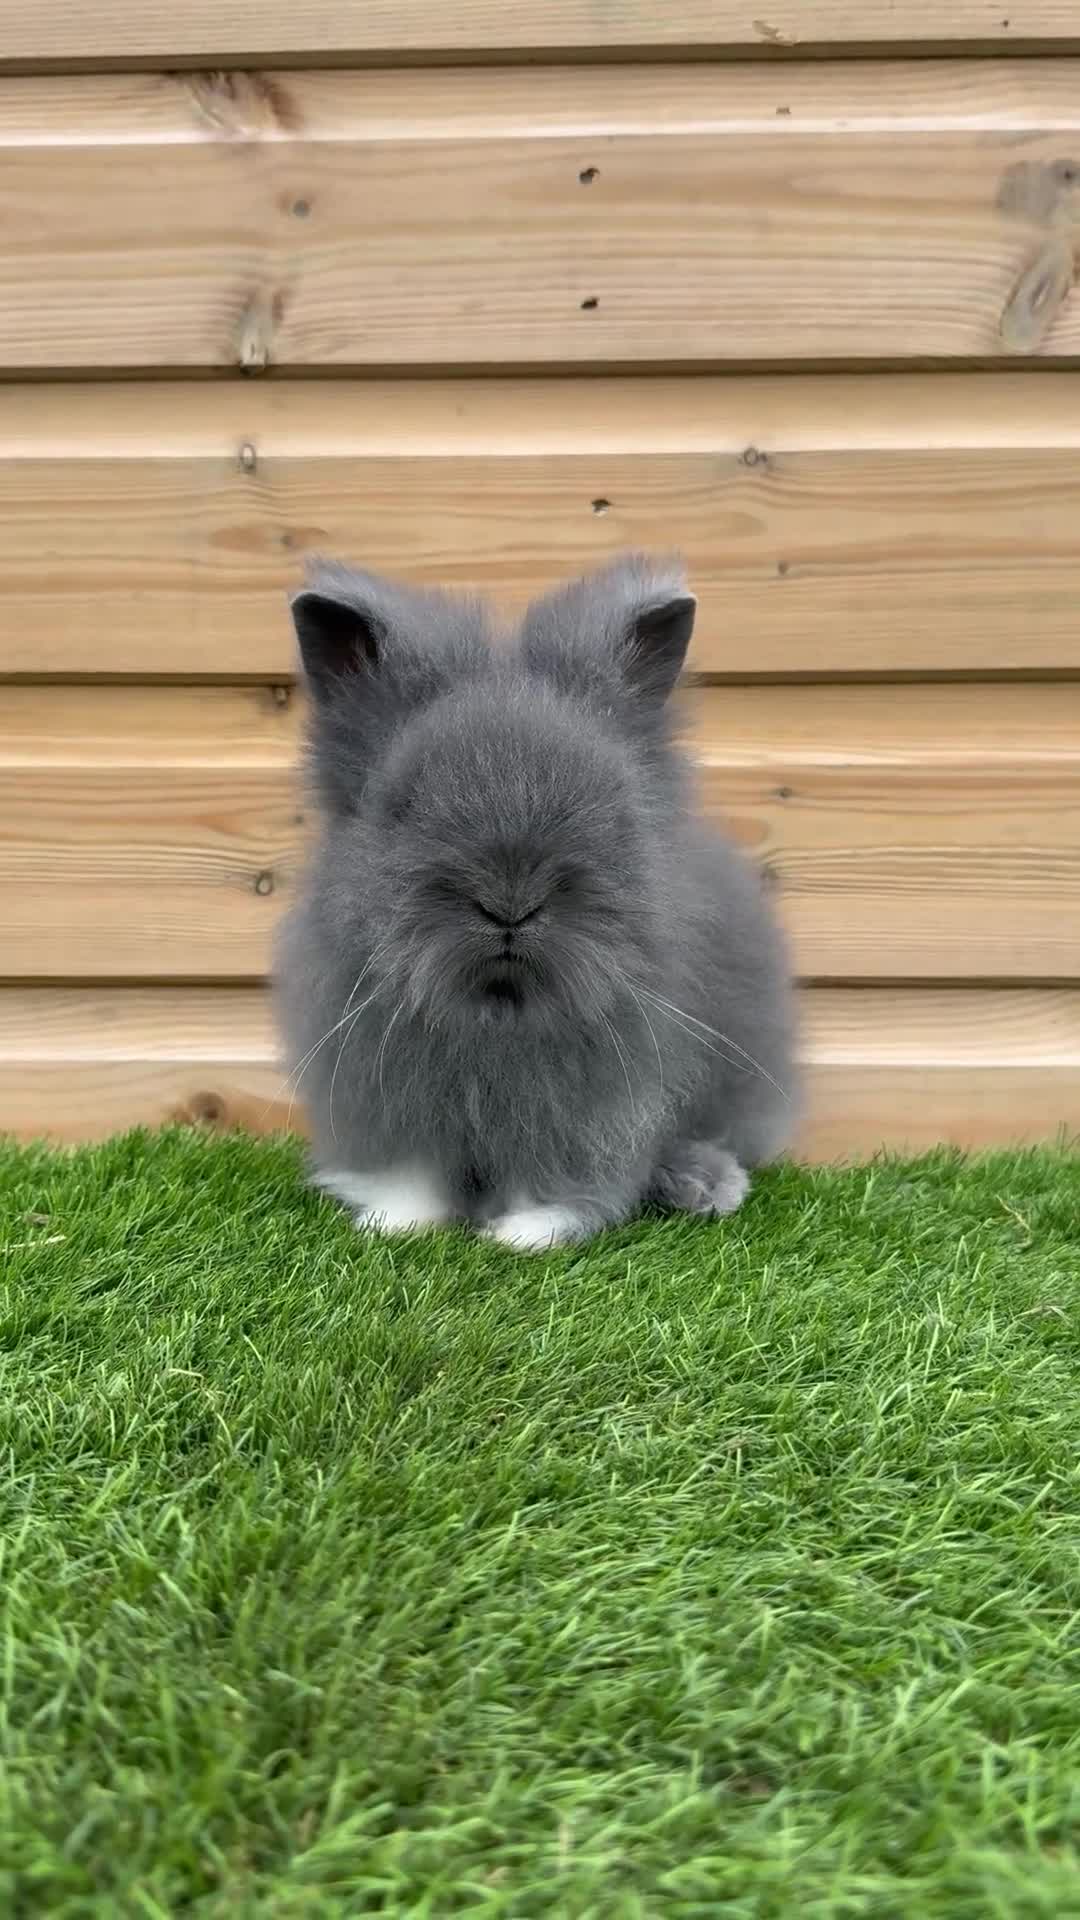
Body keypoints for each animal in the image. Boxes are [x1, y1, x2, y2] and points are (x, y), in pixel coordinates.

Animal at [275, 554, 796, 1250]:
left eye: (609, 802)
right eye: (404, 805)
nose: (510, 904)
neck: (498, 1012)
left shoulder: (593, 1109)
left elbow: (560, 1177)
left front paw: (524, 1234)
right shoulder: (385, 1092)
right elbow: (412, 1171)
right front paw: (397, 1224)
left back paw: (707, 1188)